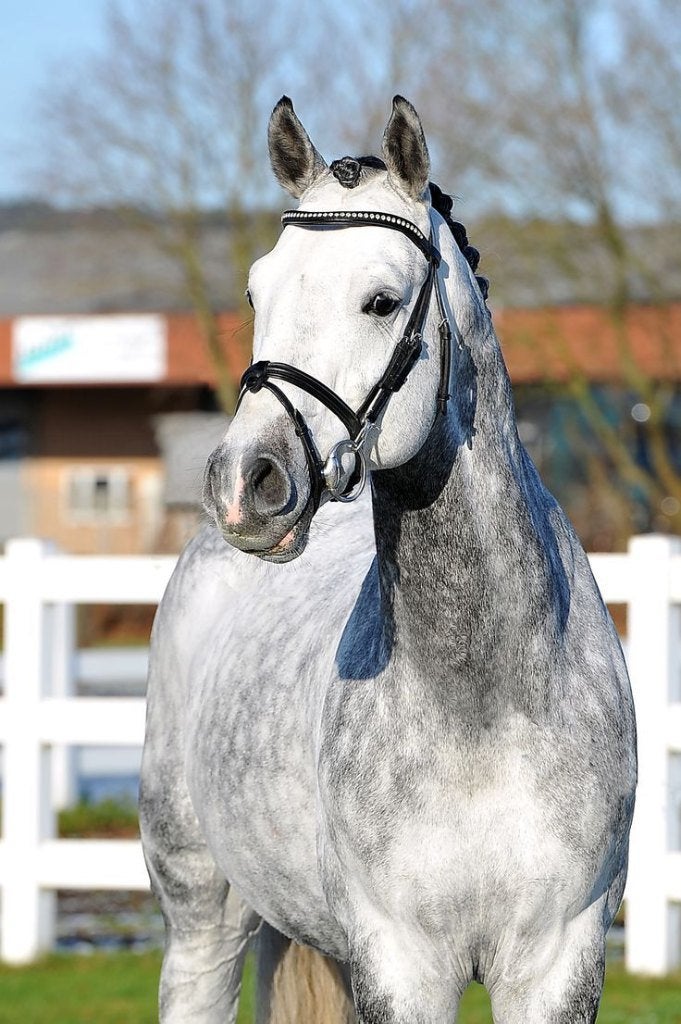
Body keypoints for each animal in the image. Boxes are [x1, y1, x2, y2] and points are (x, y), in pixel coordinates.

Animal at [140, 95, 637, 1023]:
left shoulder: (559, 962)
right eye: (257, 290)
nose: (245, 481)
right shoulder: (400, 964)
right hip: (202, 909)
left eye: (380, 300)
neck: (482, 703)